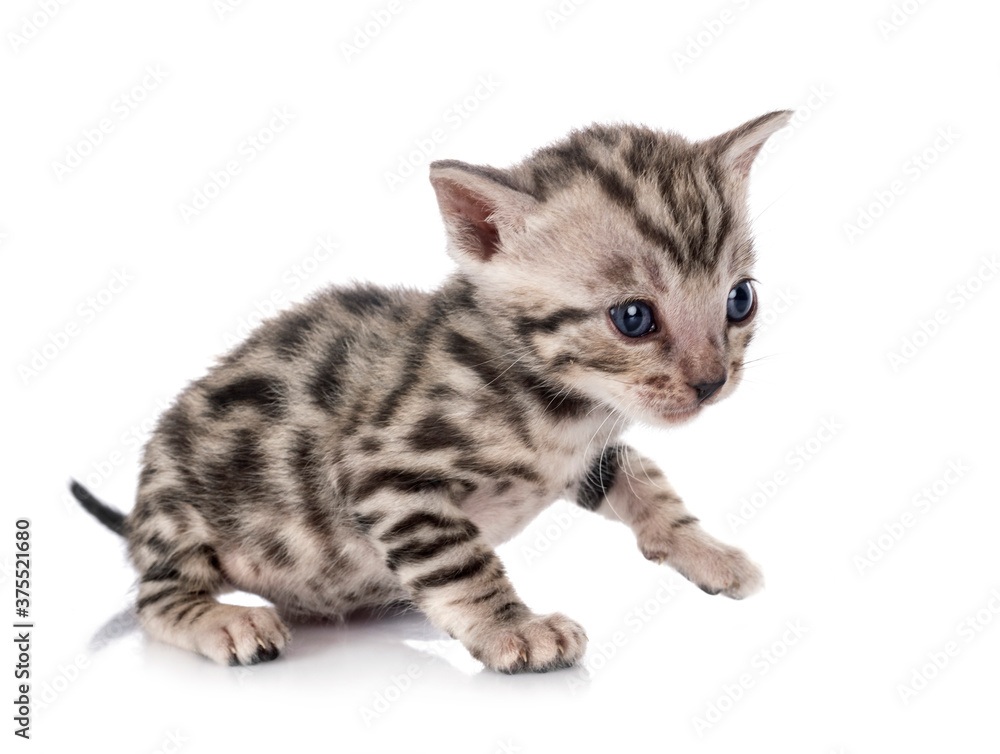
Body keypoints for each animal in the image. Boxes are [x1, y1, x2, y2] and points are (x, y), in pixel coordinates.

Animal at [74, 110, 792, 668]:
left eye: (740, 300)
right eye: (634, 317)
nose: (711, 381)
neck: (563, 406)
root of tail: (139, 516)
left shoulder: (587, 456)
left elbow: (649, 484)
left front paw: (708, 551)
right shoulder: (384, 475)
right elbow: (462, 561)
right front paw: (513, 629)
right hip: (180, 518)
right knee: (156, 597)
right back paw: (225, 619)